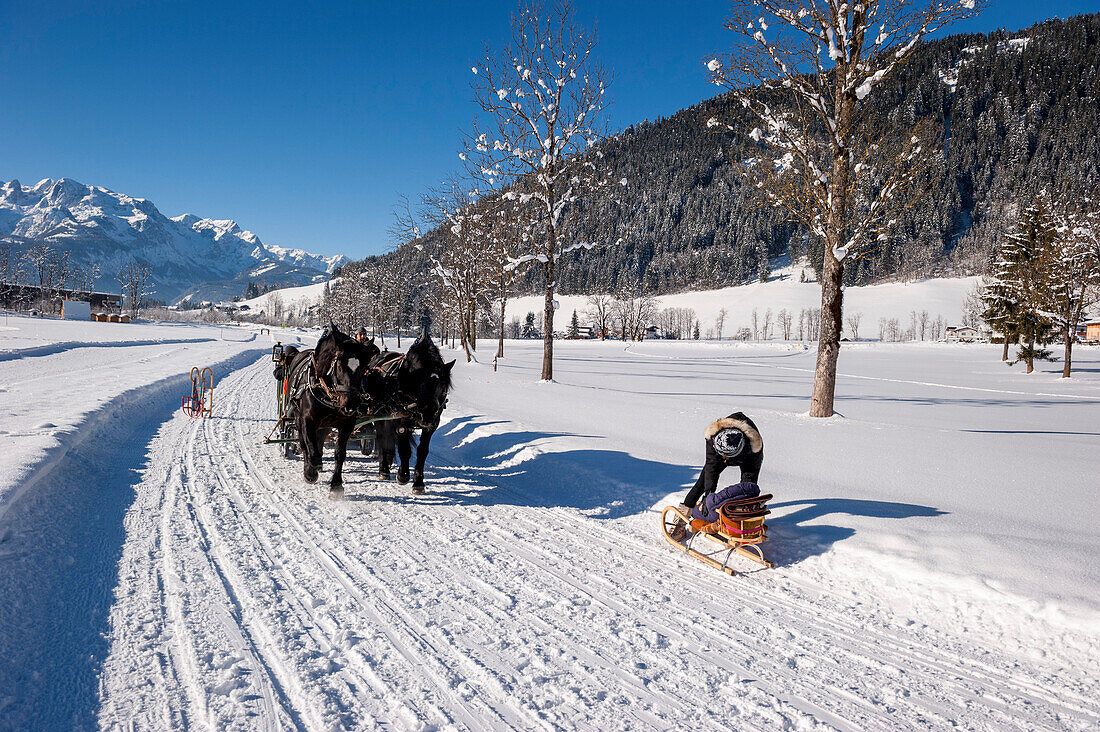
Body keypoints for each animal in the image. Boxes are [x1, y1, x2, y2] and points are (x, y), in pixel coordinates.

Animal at [281, 323, 380, 497]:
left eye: (363, 368)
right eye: (339, 366)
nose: (350, 404)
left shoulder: (346, 424)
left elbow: (339, 454)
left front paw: (336, 485)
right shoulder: (307, 420)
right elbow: (310, 448)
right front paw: (310, 472)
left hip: (325, 424)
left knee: (319, 439)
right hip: (297, 418)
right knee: (303, 442)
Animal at [369, 334, 455, 493]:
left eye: (443, 386)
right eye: (419, 384)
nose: (428, 412)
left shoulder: (432, 425)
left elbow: (422, 451)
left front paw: (418, 482)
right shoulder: (400, 421)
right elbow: (405, 449)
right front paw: (402, 475)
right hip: (379, 416)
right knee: (382, 437)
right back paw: (384, 469)